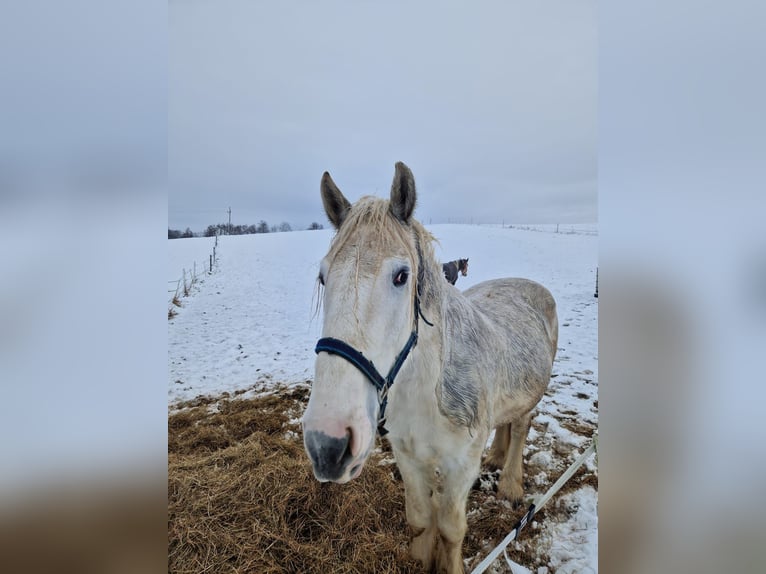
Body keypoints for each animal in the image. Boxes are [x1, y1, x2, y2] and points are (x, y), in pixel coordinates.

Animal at [302, 162, 558, 574]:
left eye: (401, 276)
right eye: (324, 277)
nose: (328, 443)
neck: (425, 391)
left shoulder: (460, 467)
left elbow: (451, 529)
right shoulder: (407, 457)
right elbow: (421, 519)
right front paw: (420, 559)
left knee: (519, 427)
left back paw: (510, 485)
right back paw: (496, 456)